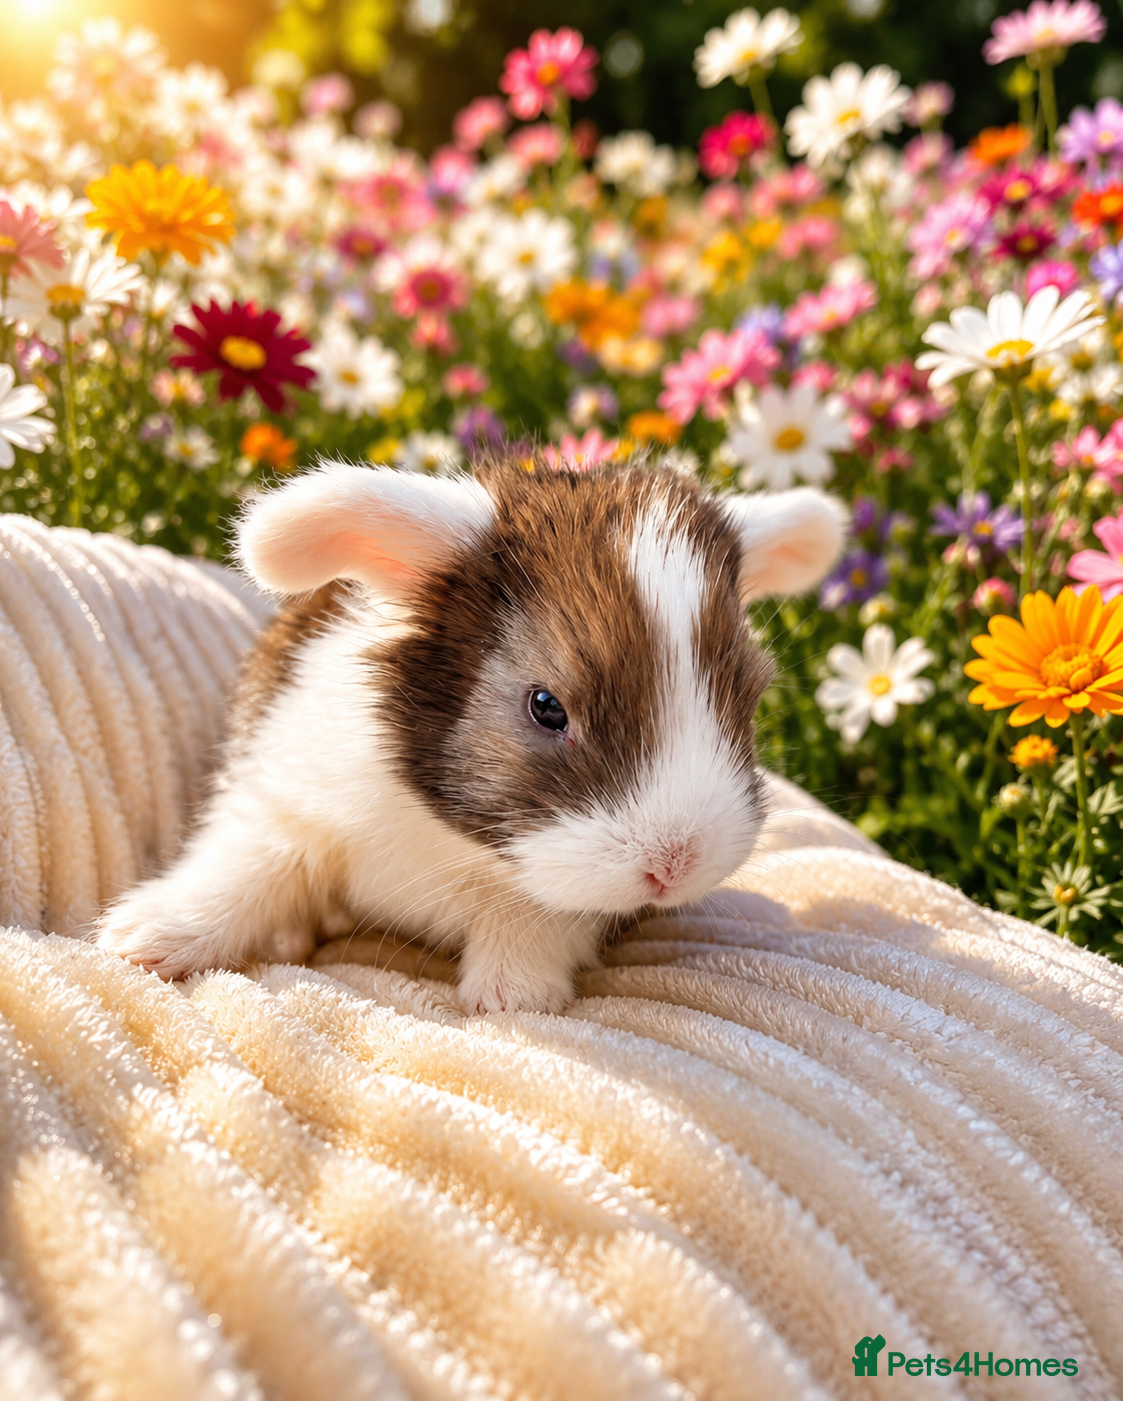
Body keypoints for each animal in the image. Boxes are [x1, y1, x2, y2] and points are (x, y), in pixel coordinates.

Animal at [96, 456, 846, 1013]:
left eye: (748, 698)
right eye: (546, 706)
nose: (673, 866)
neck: (450, 840)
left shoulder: (557, 894)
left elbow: (535, 915)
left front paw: (513, 994)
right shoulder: (284, 805)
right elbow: (243, 870)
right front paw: (144, 938)